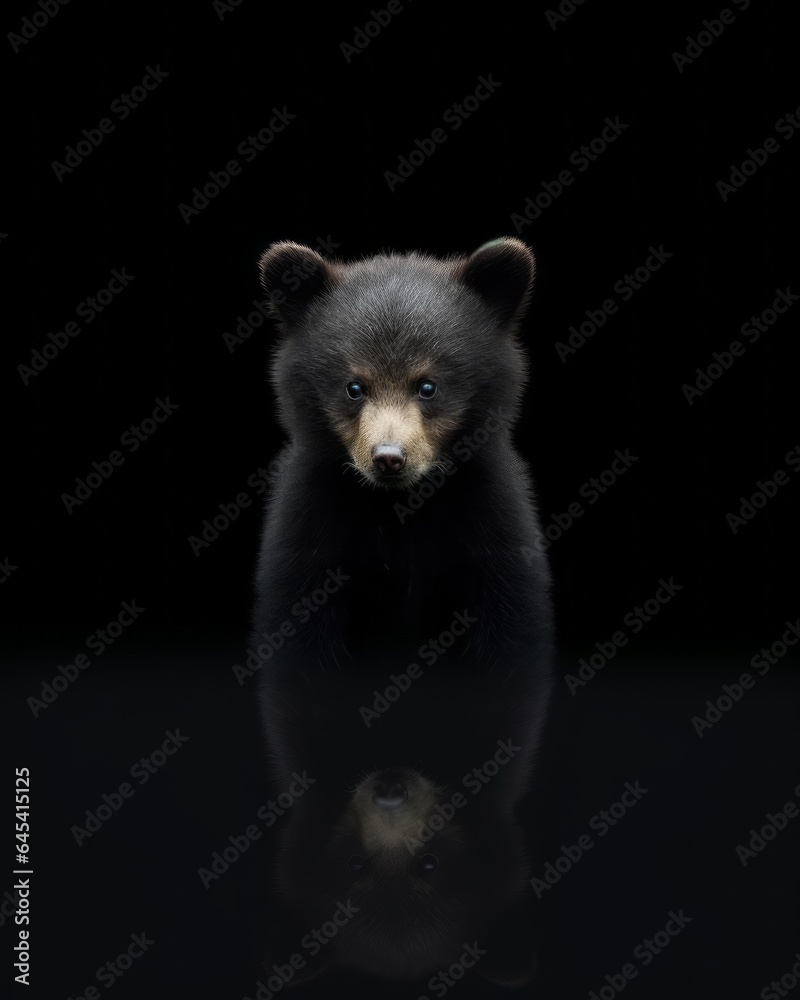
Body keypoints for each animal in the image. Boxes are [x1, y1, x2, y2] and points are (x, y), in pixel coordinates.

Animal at [250, 237, 555, 991]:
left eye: (428, 385)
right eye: (354, 386)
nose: (389, 458)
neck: (399, 516)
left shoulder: (493, 533)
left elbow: (512, 638)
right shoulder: (309, 535)